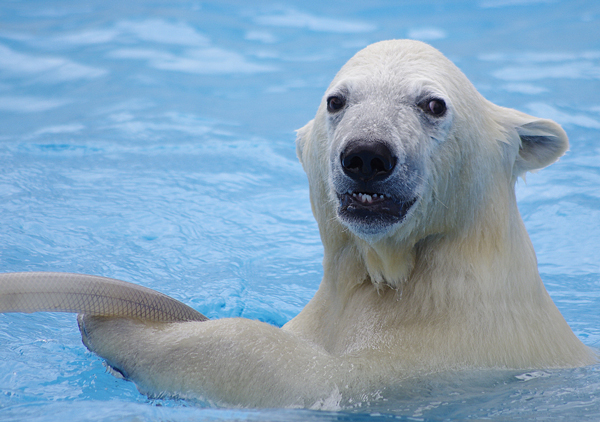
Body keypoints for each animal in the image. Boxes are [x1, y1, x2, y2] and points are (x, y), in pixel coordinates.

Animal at [0, 40, 596, 408]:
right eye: (337, 100)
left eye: (433, 104)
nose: (367, 155)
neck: (404, 277)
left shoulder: (453, 351)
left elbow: (309, 376)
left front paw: (131, 327)